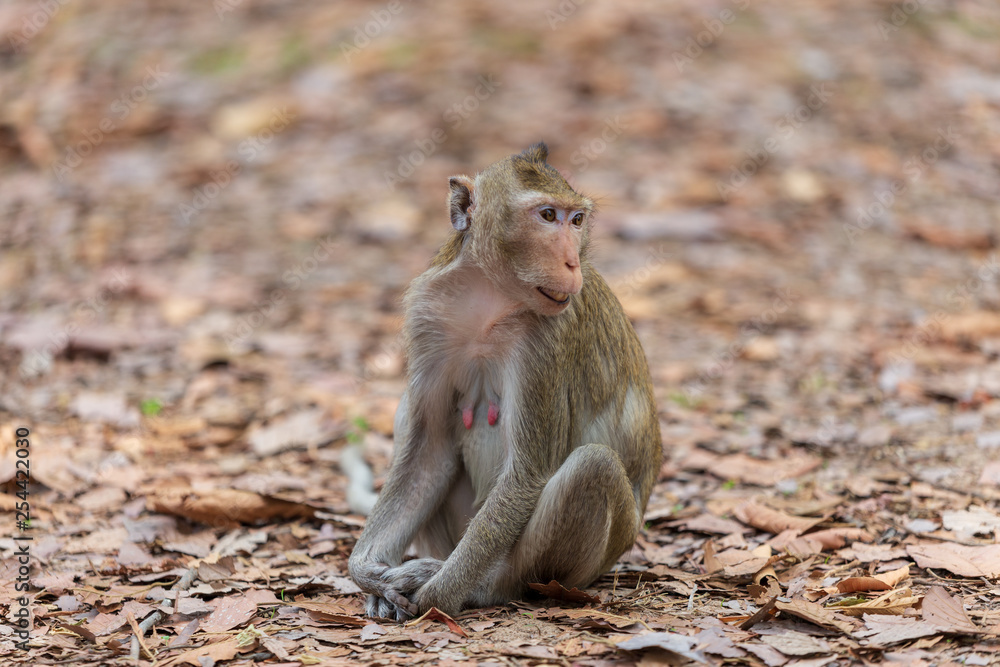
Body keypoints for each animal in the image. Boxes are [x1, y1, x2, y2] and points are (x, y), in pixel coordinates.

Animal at [348, 143, 662, 620]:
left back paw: (486, 587)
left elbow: (526, 475)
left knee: (592, 467)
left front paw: (437, 594)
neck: (491, 296)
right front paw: (368, 573)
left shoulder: (547, 340)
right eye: (547, 215)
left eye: (576, 220)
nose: (572, 262)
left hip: (580, 565)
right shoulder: (428, 314)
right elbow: (428, 452)